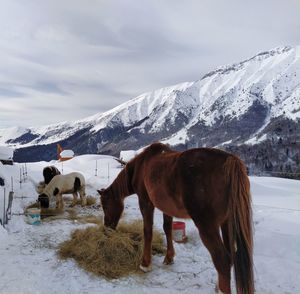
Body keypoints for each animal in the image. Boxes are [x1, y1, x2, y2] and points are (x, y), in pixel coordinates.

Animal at [98, 142, 253, 292]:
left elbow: (147, 231)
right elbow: (167, 229)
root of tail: (230, 161)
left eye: (105, 206)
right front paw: (169, 257)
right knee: (230, 255)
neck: (140, 166)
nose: (107, 228)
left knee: (222, 260)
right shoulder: (166, 207)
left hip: (207, 227)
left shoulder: (145, 202)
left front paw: (145, 264)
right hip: (226, 223)